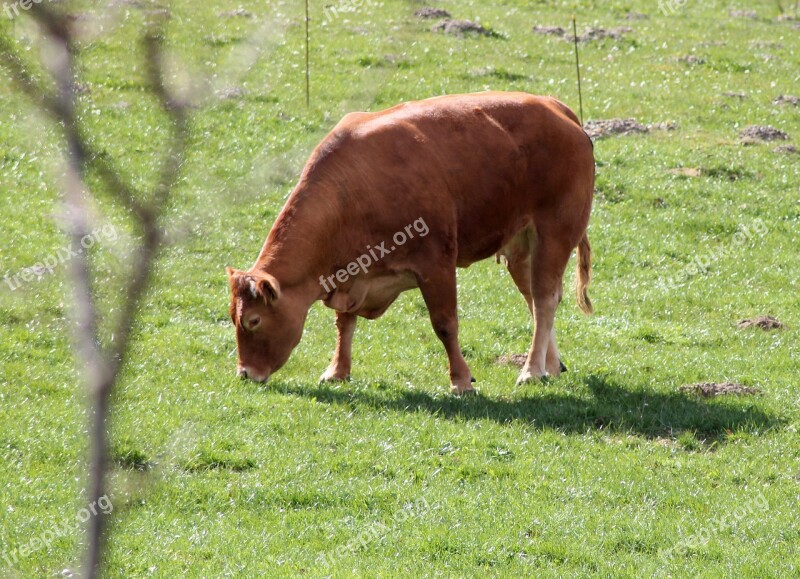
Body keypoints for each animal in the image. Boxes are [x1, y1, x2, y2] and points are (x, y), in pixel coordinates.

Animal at [227, 92, 592, 394]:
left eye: (253, 321)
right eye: (233, 317)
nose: (245, 373)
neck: (352, 192)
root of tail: (555, 107)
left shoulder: (436, 263)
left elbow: (445, 324)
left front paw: (461, 380)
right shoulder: (350, 271)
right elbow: (344, 323)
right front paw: (337, 371)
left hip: (554, 233)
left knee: (544, 300)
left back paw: (530, 370)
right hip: (521, 246)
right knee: (535, 299)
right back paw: (549, 366)